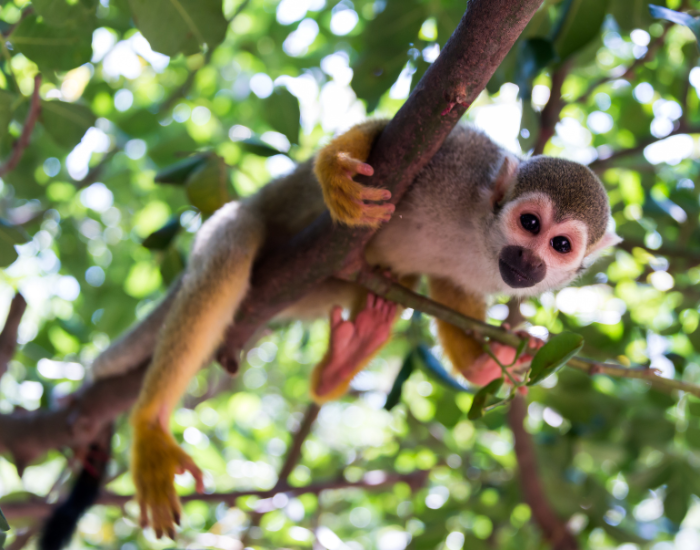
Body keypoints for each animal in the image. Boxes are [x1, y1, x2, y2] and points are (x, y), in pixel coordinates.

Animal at [84, 118, 619, 539]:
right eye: (529, 223)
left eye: (561, 246)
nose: (529, 264)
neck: (479, 236)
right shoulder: (462, 160)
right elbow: (398, 133)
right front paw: (336, 171)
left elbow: (450, 289)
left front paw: (486, 365)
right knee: (234, 240)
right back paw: (150, 424)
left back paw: (342, 361)